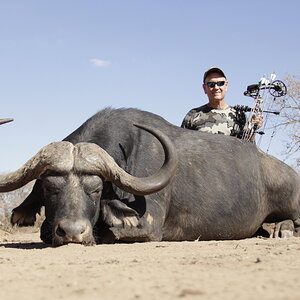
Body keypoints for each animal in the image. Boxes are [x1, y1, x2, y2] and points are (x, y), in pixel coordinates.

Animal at [0, 108, 300, 246]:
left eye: (95, 189)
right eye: (50, 188)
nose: (73, 232)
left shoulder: (149, 225)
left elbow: (109, 232)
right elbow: (44, 230)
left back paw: (283, 230)